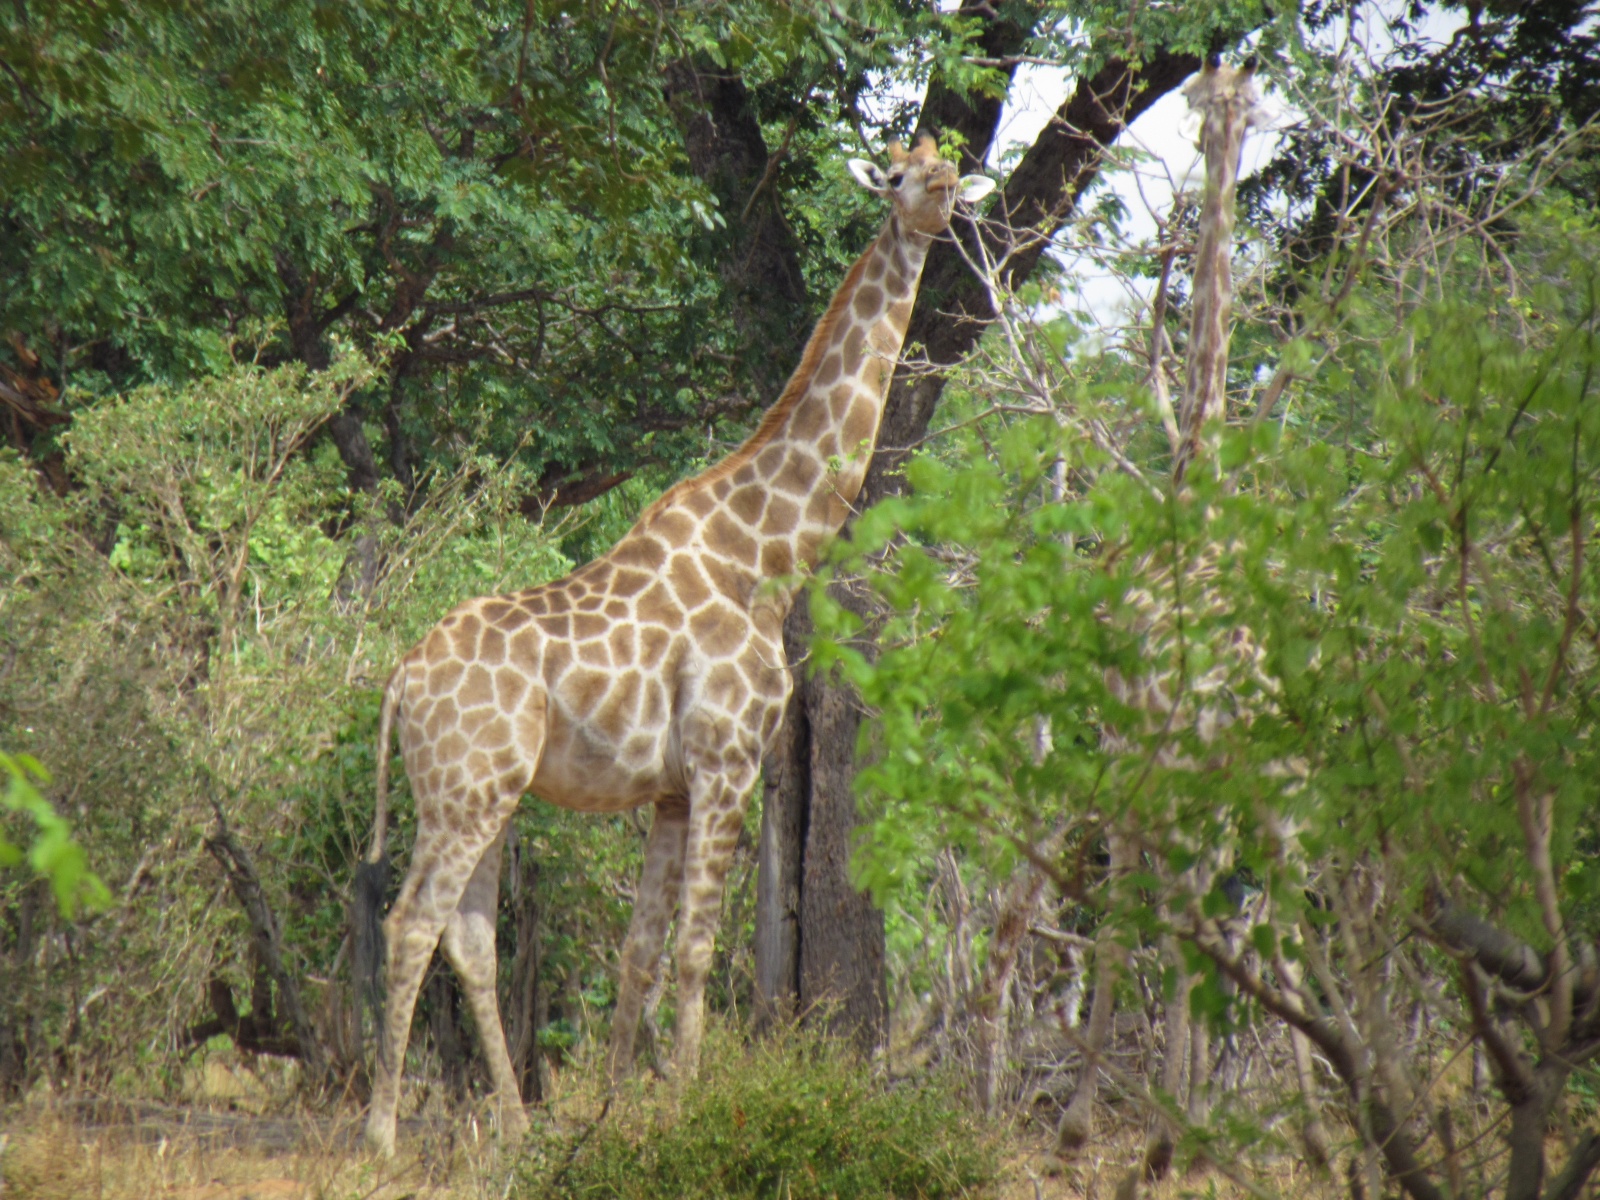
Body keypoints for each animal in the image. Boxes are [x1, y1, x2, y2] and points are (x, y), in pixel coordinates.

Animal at [358, 136, 995, 1157]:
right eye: (896, 175)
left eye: (948, 169)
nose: (940, 198)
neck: (767, 556)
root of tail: (401, 680)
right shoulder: (727, 761)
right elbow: (695, 952)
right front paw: (700, 1112)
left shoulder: (668, 789)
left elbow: (639, 954)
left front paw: (613, 1116)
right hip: (466, 790)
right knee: (411, 923)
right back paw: (380, 1134)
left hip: (481, 793)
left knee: (468, 934)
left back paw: (519, 1128)